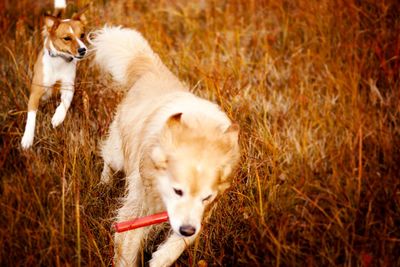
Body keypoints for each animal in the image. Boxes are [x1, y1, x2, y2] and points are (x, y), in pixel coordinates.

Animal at [20, 9, 87, 150]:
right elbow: (31, 116)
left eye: (82, 35)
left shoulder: (68, 87)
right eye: (67, 38)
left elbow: (65, 103)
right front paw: (27, 138)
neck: (59, 61)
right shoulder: (36, 93)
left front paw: (58, 117)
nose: (82, 50)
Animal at [91, 26, 241, 267]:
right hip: (118, 153)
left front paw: (160, 258)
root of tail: (153, 68)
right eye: (177, 191)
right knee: (109, 161)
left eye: (206, 197)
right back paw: (104, 183)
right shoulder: (136, 209)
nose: (187, 229)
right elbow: (127, 249)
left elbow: (178, 245)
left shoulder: (203, 214)